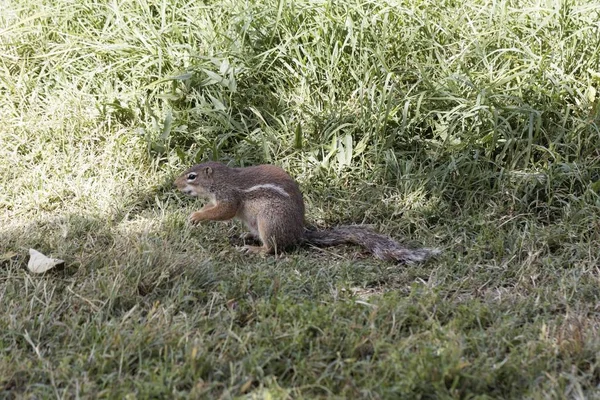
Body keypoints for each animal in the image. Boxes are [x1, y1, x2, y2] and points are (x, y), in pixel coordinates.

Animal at [176, 161, 438, 264]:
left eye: (192, 176)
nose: (174, 183)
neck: (221, 179)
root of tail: (298, 232)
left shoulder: (229, 197)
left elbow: (224, 211)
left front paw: (196, 216)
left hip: (269, 220)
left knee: (274, 248)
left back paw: (255, 249)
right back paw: (247, 236)